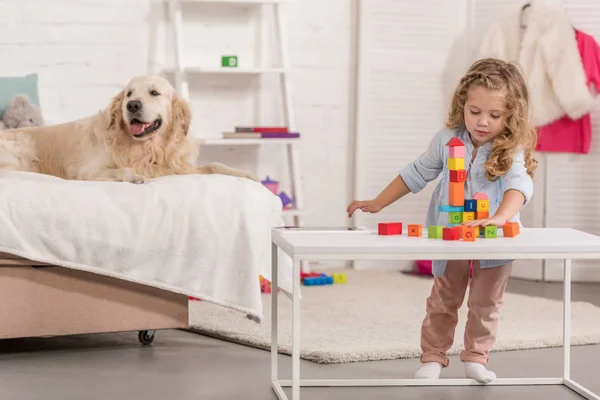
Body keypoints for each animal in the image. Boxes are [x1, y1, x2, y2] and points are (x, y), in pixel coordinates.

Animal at [0, 74, 255, 184]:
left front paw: (248, 175)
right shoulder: (87, 170)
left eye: (154, 92)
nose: (132, 105)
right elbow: (123, 170)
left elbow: (215, 165)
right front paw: (135, 176)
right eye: (129, 94)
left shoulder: (178, 167)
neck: (147, 148)